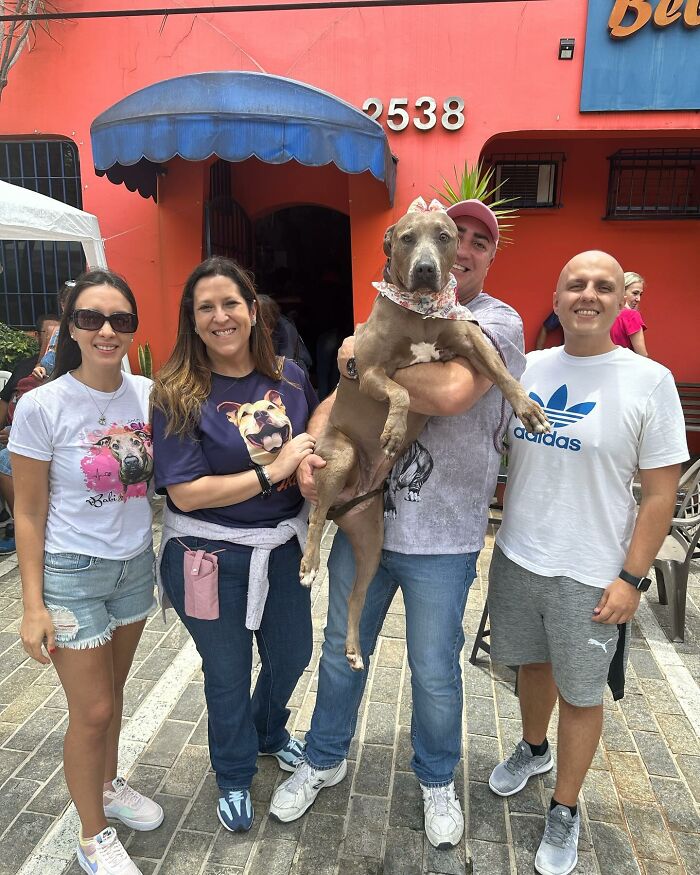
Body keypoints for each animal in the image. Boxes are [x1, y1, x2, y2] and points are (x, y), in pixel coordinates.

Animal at [298, 197, 548, 672]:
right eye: (408, 238)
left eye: (446, 237)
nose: (427, 269)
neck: (422, 311)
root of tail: (348, 500)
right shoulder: (369, 371)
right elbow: (400, 391)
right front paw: (394, 430)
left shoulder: (473, 344)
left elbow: (503, 371)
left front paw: (527, 409)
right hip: (339, 457)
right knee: (315, 517)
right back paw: (308, 563)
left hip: (372, 543)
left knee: (356, 596)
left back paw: (354, 649)